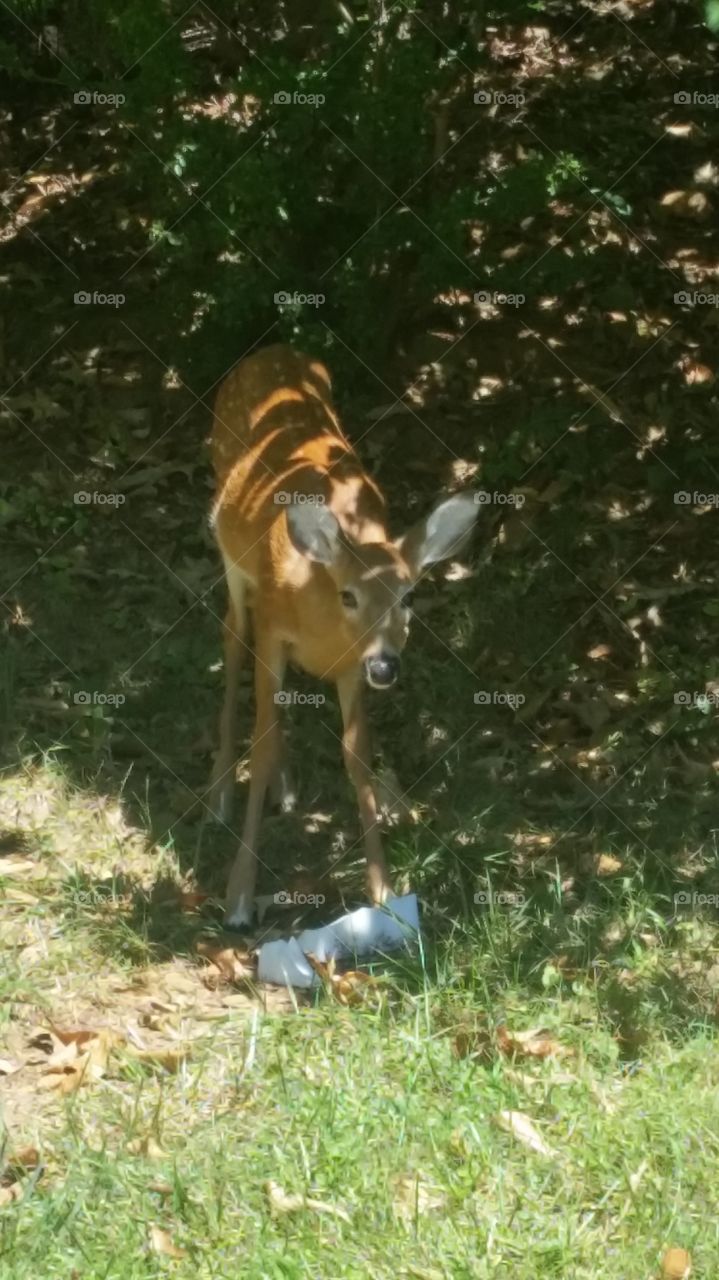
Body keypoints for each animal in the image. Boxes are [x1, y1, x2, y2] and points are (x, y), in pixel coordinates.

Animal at [207, 344, 477, 929]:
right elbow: (262, 743)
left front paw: (383, 893)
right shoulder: (274, 629)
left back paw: (285, 790)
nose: (387, 667)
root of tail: (273, 350)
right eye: (349, 596)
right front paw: (238, 898)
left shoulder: (352, 666)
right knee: (232, 642)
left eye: (408, 598)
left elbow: (356, 755)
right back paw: (218, 794)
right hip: (232, 563)